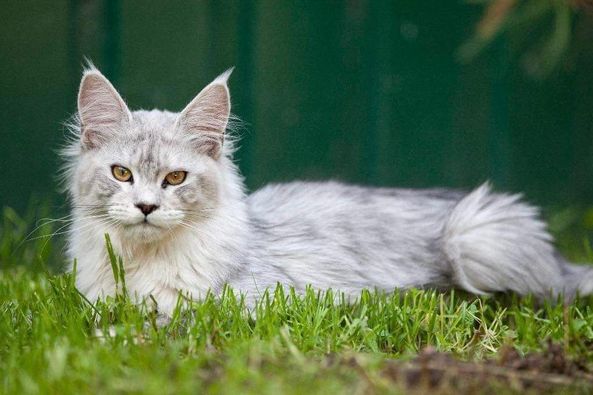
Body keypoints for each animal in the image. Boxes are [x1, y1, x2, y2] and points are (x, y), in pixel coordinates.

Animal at [62, 66, 592, 318]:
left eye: (175, 179)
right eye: (122, 174)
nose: (146, 207)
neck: (141, 267)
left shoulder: (246, 304)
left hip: (478, 235)